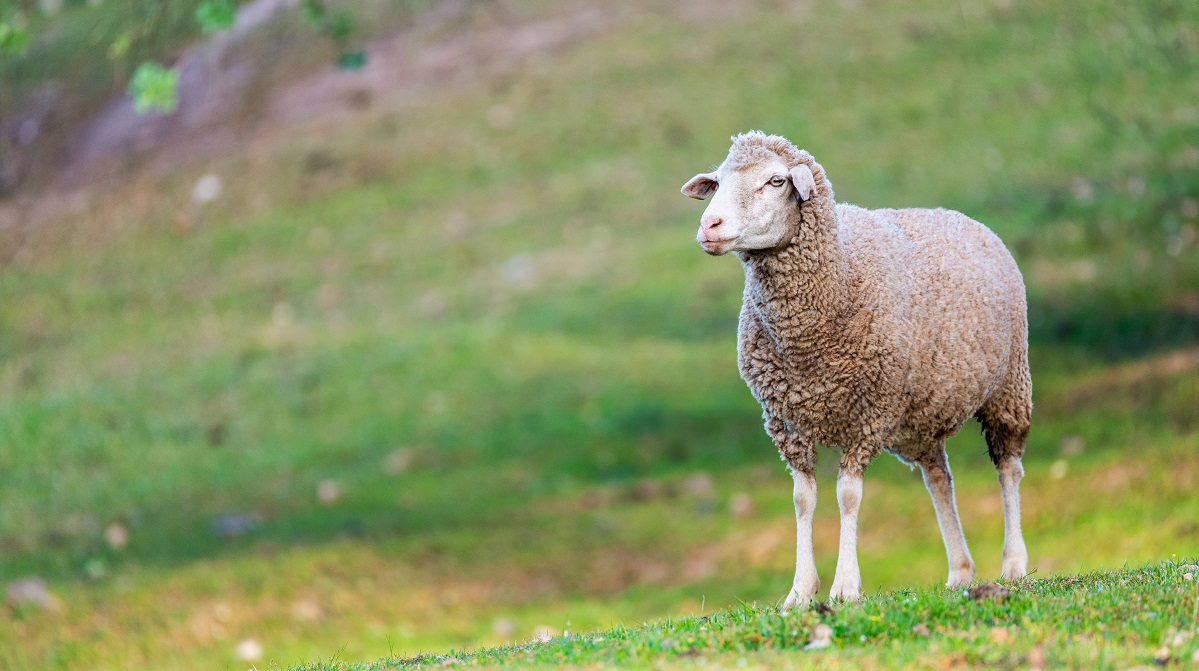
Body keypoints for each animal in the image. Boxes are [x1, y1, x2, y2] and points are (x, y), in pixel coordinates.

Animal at [685, 131, 1031, 608]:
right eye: (716, 182)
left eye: (776, 181)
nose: (709, 226)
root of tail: (960, 217)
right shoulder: (787, 422)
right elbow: (802, 499)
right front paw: (800, 591)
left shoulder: (869, 413)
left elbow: (848, 496)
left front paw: (845, 586)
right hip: (919, 418)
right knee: (939, 478)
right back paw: (961, 571)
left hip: (1008, 386)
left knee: (1008, 469)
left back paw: (1014, 565)